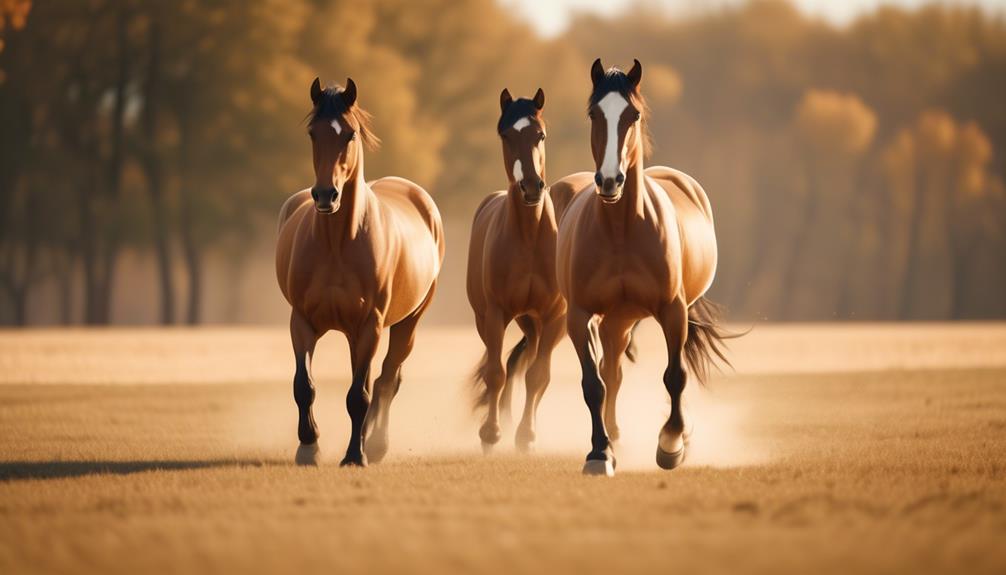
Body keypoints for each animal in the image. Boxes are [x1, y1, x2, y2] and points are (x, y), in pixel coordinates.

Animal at [277, 78, 446, 466]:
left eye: (350, 134)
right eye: (313, 132)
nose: (326, 195)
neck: (338, 244)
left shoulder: (370, 325)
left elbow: (359, 395)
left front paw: (355, 455)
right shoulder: (301, 322)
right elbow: (303, 386)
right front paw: (309, 446)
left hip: (406, 324)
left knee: (386, 380)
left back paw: (376, 444)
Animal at [559, 60, 732, 478]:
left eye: (632, 115)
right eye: (594, 113)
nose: (610, 180)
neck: (621, 231)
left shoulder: (672, 310)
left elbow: (675, 375)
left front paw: (671, 444)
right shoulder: (580, 316)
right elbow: (594, 384)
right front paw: (599, 452)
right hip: (616, 321)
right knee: (612, 373)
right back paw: (614, 439)